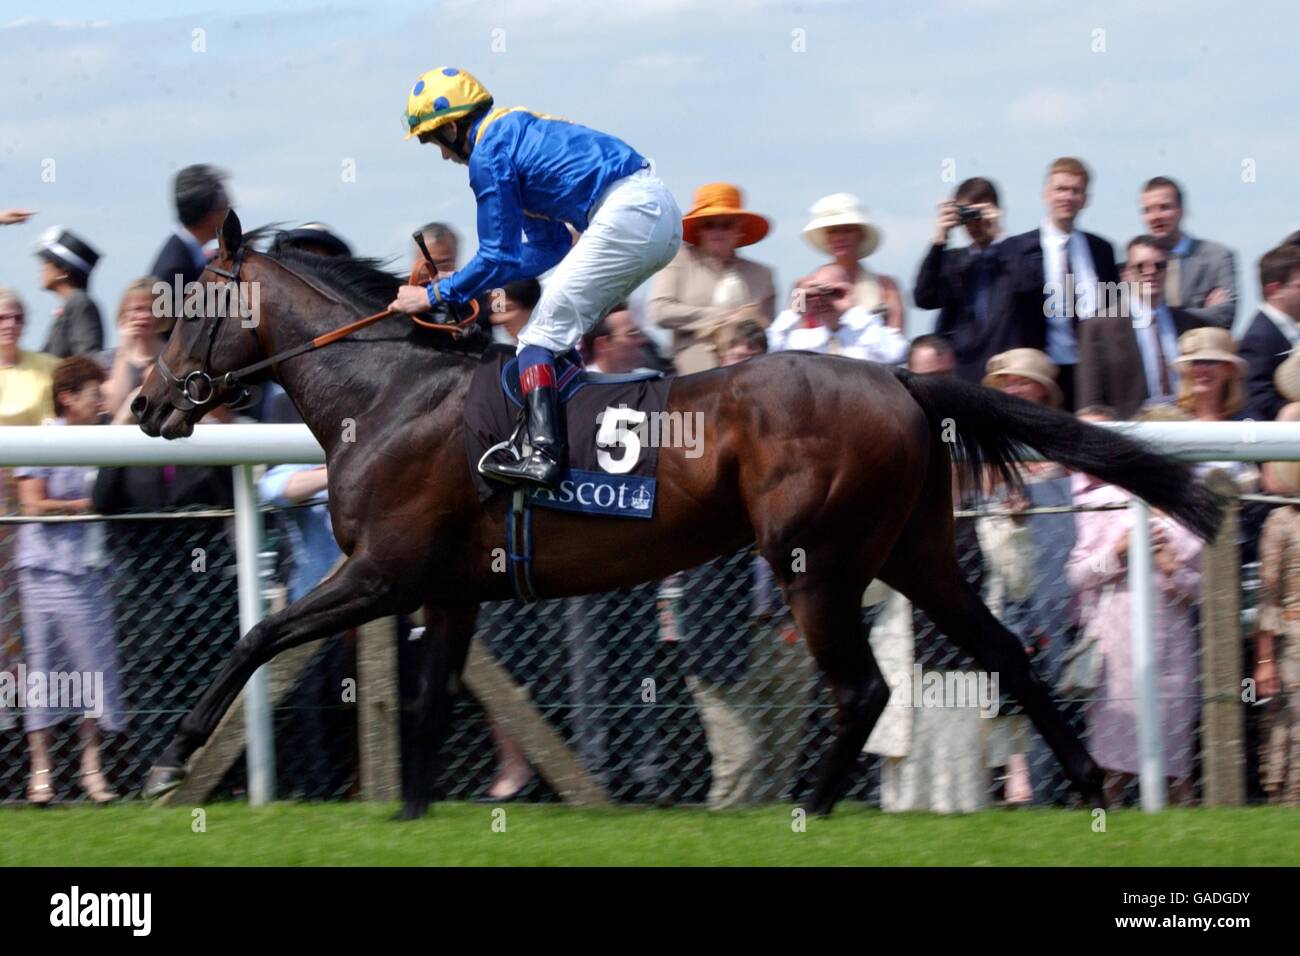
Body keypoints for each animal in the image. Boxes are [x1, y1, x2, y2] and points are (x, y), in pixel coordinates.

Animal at [137, 213, 1222, 816]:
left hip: (813, 560)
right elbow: (432, 697)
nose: (147, 404)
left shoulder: (384, 571)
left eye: (189, 306)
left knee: (864, 688)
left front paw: (168, 758)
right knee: (1000, 650)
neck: (390, 392)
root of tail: (900, 380)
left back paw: (808, 806)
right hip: (914, 551)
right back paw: (1089, 783)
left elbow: (260, 635)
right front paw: (408, 816)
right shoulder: (448, 591)